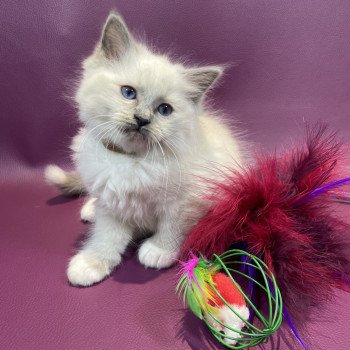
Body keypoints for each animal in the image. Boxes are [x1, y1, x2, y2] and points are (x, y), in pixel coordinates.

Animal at [45, 13, 245, 288]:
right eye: (128, 93)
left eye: (164, 110)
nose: (141, 120)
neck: (130, 161)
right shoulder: (111, 202)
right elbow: (106, 238)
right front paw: (92, 263)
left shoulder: (186, 201)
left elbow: (172, 228)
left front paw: (158, 251)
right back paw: (90, 210)